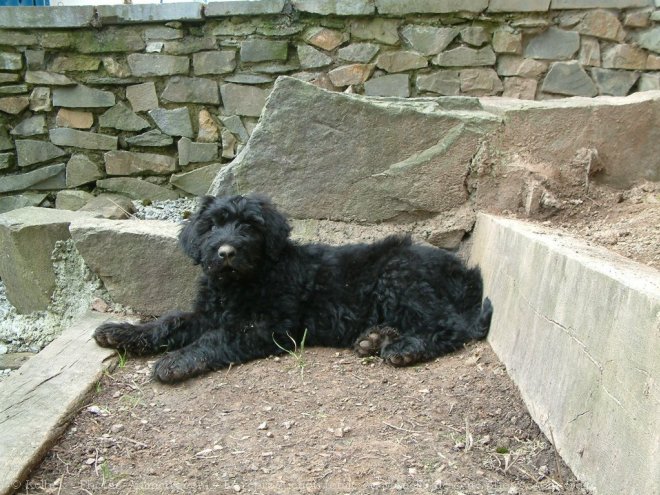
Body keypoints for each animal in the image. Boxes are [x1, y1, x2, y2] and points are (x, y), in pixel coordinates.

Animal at [95, 195, 492, 384]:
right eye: (211, 226)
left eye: (249, 226)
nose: (226, 252)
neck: (243, 281)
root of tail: (465, 272)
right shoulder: (207, 313)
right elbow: (170, 321)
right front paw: (122, 332)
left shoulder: (268, 325)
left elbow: (215, 338)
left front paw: (176, 361)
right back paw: (375, 338)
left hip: (400, 275)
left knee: (452, 326)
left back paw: (404, 348)